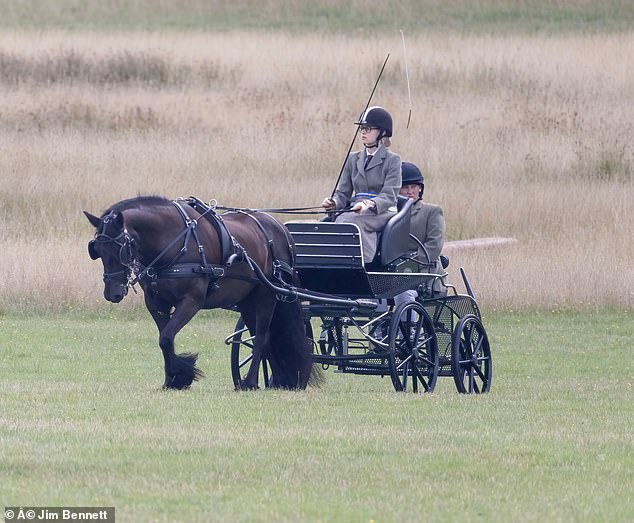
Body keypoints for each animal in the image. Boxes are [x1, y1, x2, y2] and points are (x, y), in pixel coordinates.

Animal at [82, 198, 314, 392]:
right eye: (97, 250)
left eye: (120, 249)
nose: (112, 293)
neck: (172, 242)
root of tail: (281, 229)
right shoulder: (156, 303)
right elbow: (164, 339)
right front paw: (172, 380)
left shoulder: (191, 301)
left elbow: (167, 337)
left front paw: (182, 373)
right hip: (248, 302)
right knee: (263, 336)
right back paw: (275, 380)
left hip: (266, 295)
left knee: (262, 338)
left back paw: (249, 383)